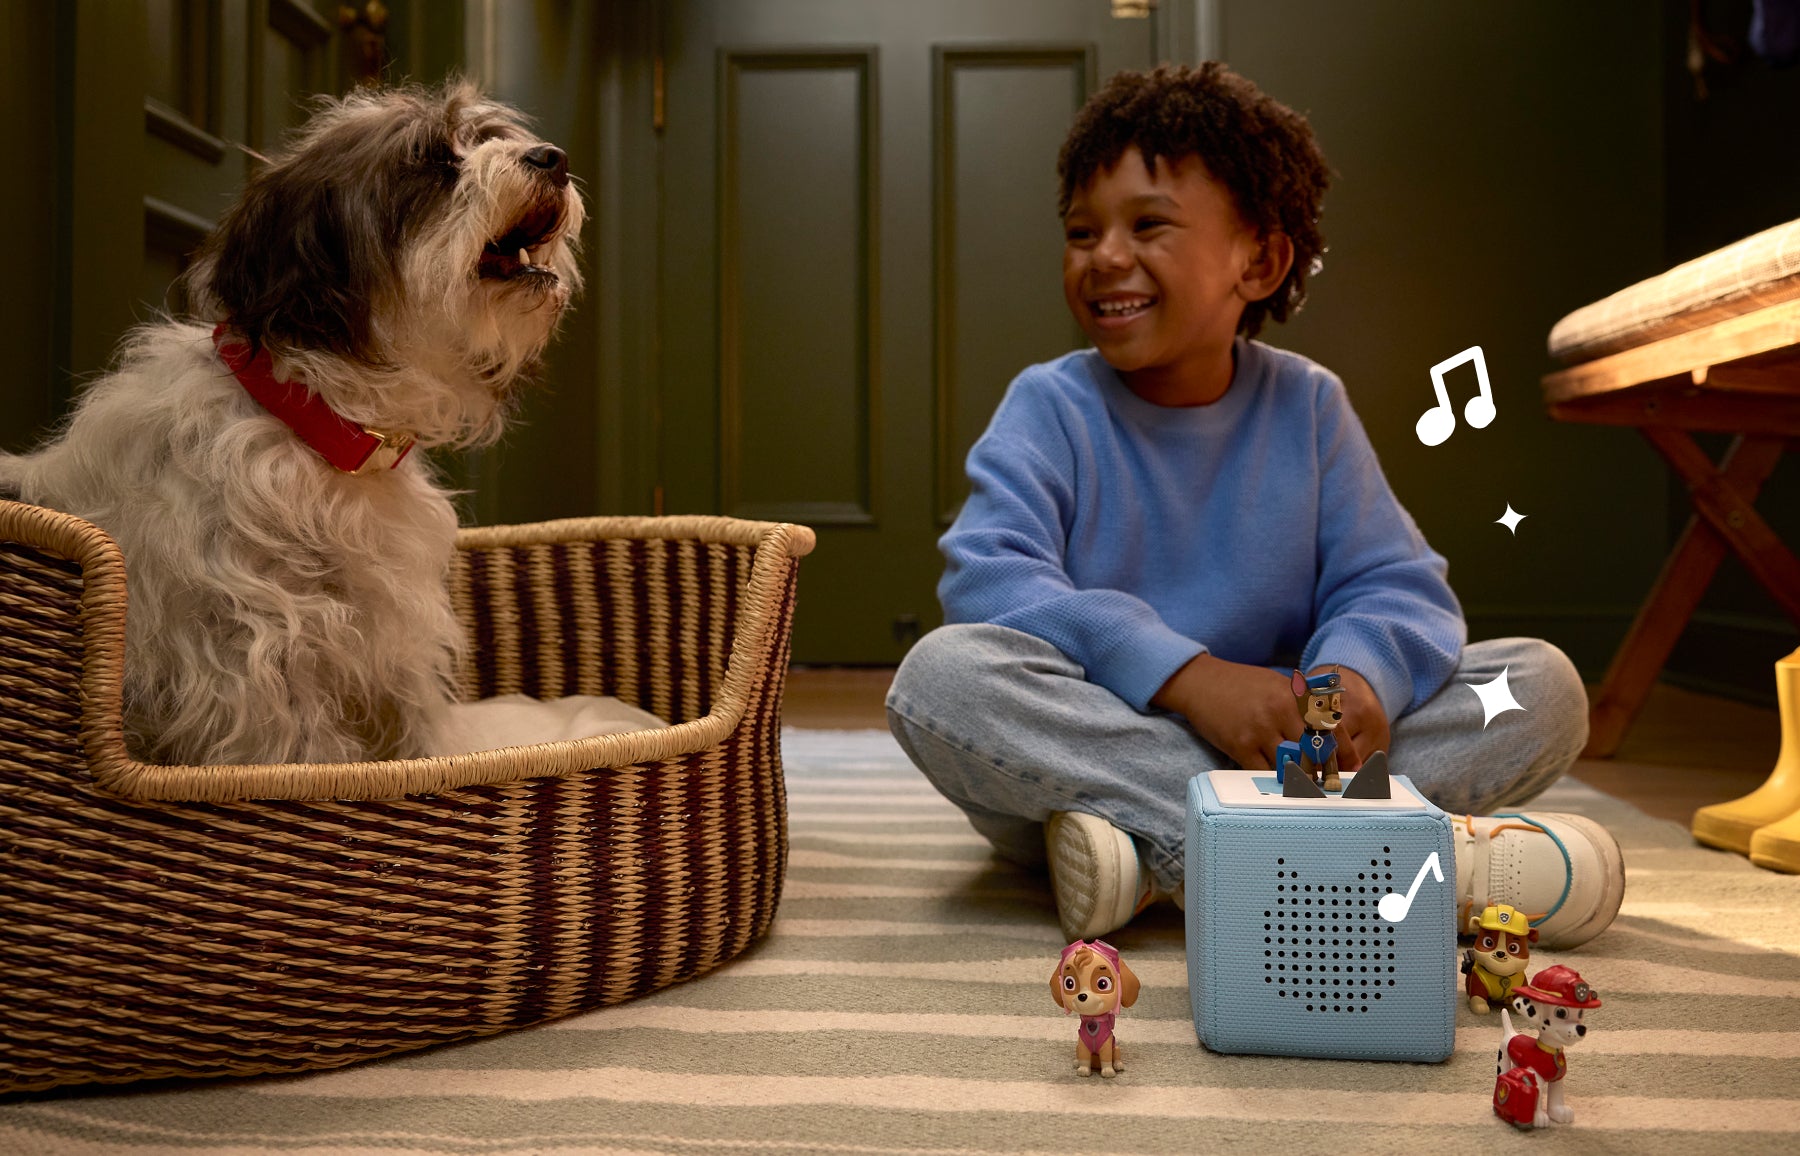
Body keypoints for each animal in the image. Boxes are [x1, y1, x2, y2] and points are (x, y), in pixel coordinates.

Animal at [0, 81, 658, 763]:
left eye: (488, 137)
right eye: (430, 162)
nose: (553, 157)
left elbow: (422, 732)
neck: (323, 430)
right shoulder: (259, 665)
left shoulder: (394, 646)